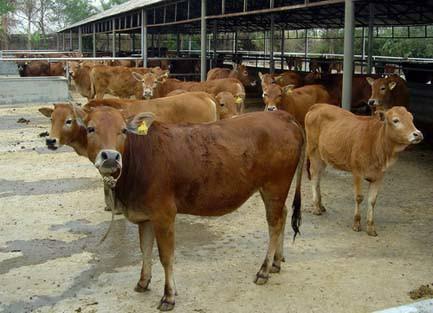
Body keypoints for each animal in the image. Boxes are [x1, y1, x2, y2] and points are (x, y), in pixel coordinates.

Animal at [77, 107, 304, 310]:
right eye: (90, 128)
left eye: (123, 130)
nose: (110, 157)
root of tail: (282, 115)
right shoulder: (145, 216)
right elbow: (145, 250)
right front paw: (143, 282)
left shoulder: (164, 215)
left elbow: (166, 257)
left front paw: (168, 296)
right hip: (271, 190)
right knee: (283, 215)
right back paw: (276, 262)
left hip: (275, 185)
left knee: (274, 223)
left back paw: (264, 270)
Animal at [304, 103, 422, 235]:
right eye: (396, 120)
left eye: (411, 118)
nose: (418, 134)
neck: (376, 143)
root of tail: (318, 105)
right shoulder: (357, 172)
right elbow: (359, 197)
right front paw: (356, 223)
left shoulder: (379, 176)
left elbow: (372, 200)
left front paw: (370, 227)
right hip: (313, 151)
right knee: (314, 177)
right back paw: (316, 207)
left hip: (323, 157)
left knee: (318, 178)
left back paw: (320, 205)